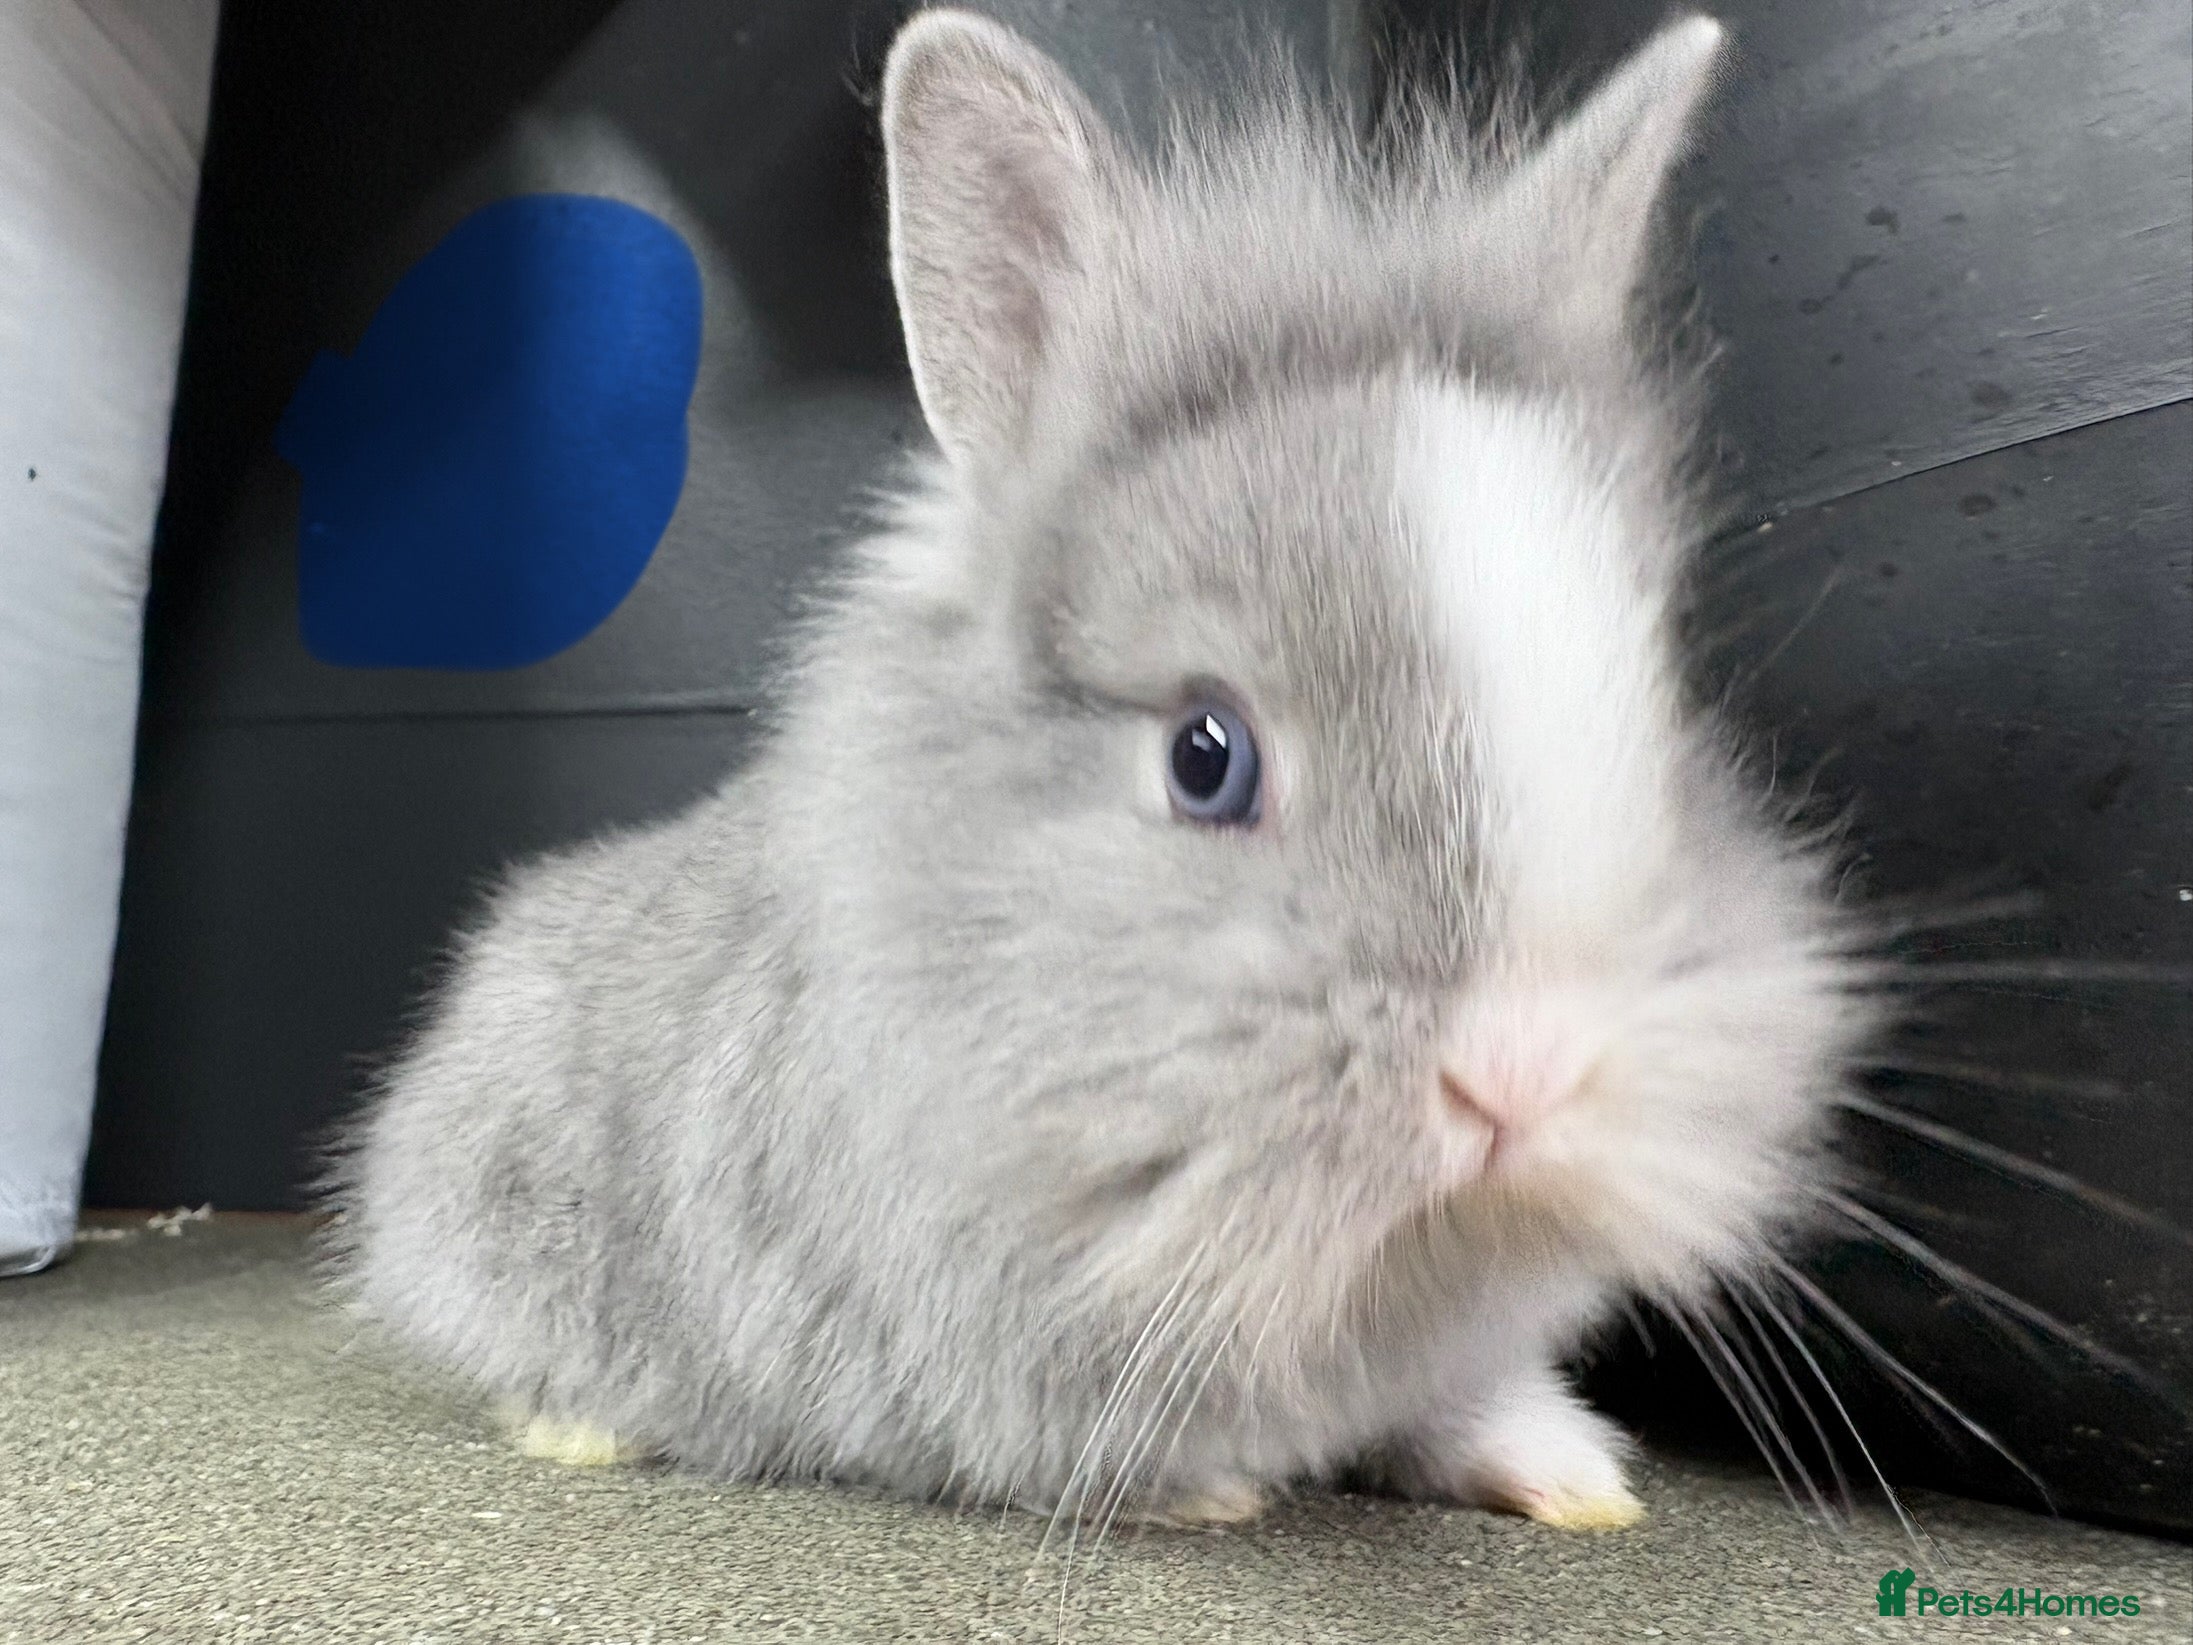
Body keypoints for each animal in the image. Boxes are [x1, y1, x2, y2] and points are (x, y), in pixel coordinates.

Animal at [330, 8, 1874, 1532]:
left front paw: (1571, 1479)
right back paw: (574, 1428)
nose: (1524, 1076)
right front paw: (1223, 1491)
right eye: (1206, 757)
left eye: (1661, 708)